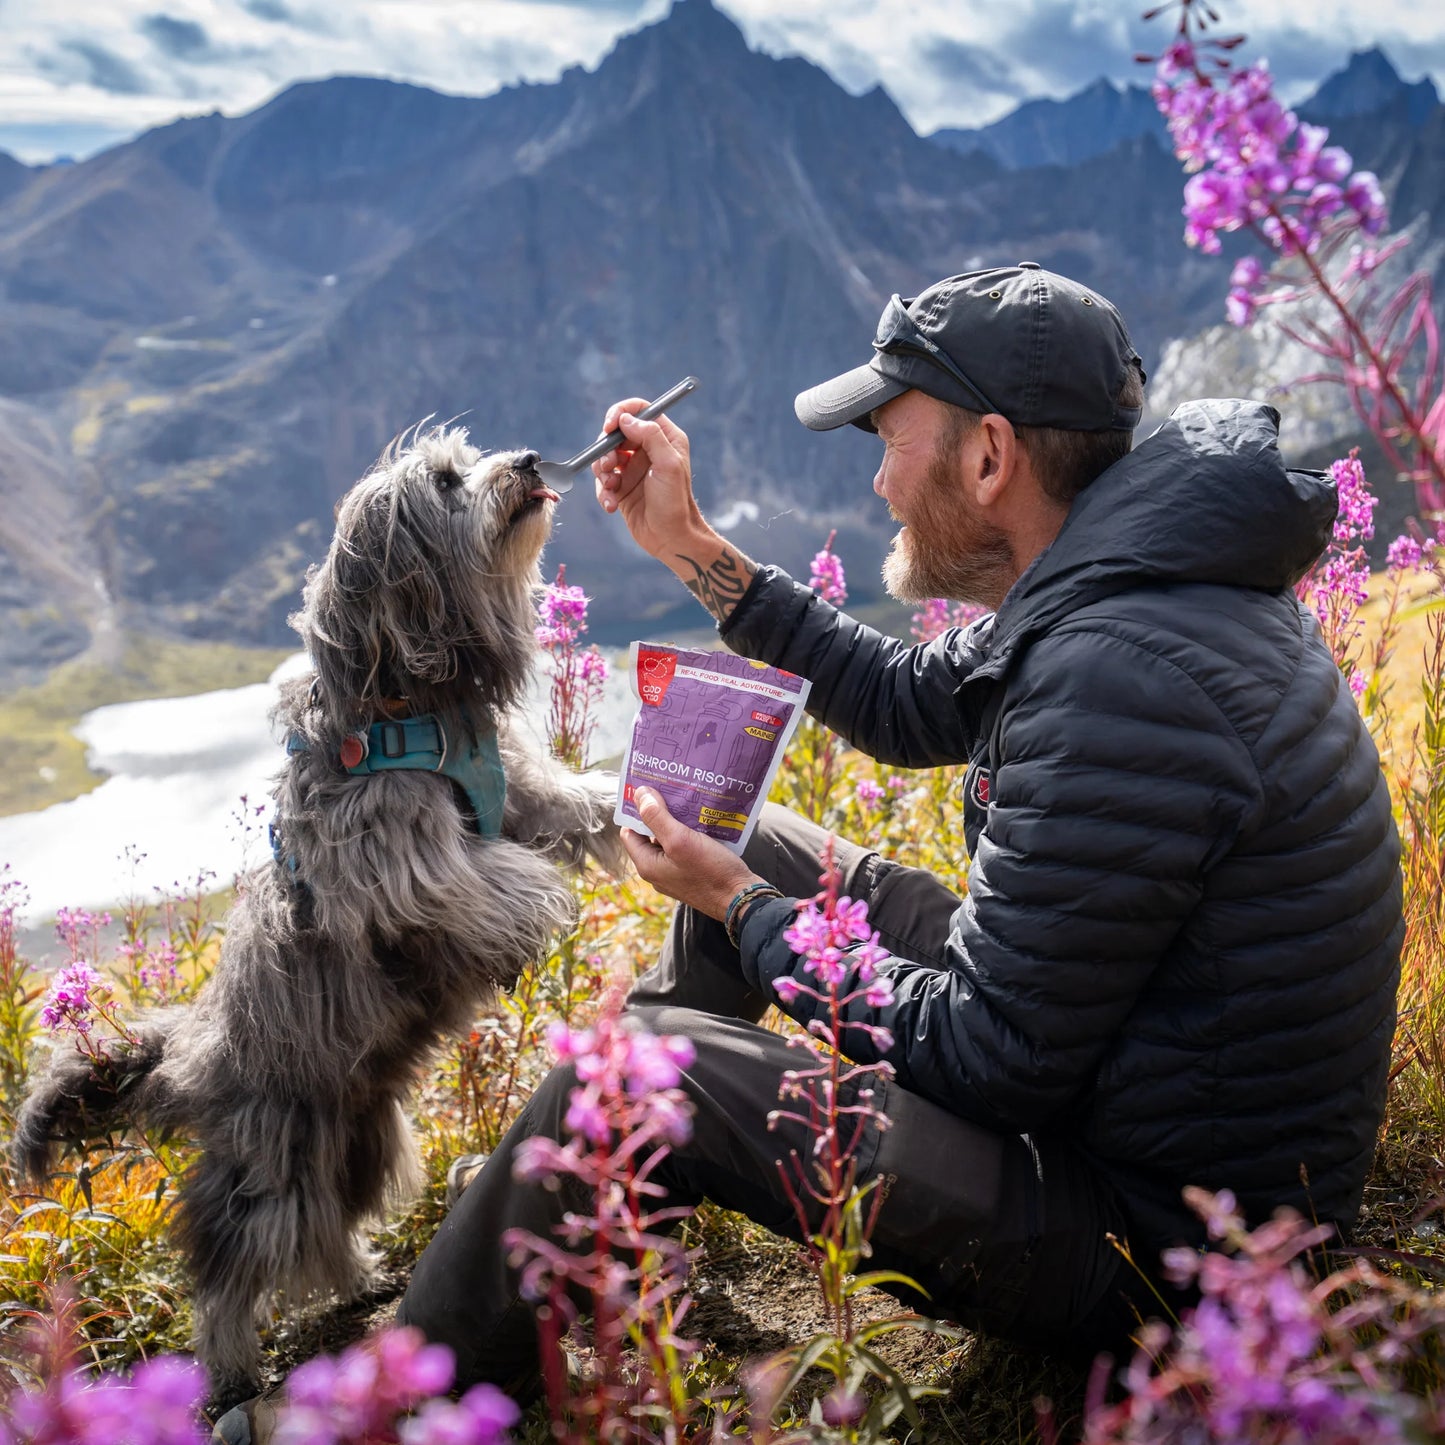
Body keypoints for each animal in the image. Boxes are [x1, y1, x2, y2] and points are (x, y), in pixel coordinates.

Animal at [15, 421, 627, 1404]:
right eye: (448, 480)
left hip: (356, 1134)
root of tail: (189, 1056)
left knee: (330, 1225)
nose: (531, 462)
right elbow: (479, 877)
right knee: (233, 1266)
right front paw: (538, 912)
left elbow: (568, 807)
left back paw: (361, 1276)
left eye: (473, 457)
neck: (409, 704)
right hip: (274, 1159)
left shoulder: (522, 792)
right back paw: (230, 1370)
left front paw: (649, 806)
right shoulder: (387, 850)